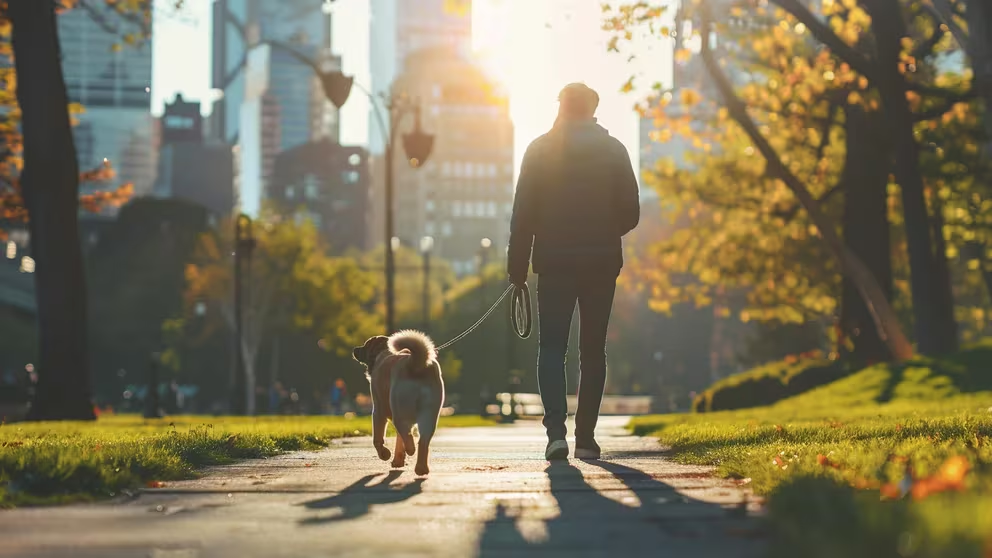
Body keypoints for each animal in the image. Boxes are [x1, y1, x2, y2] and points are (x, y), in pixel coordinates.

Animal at [348, 330, 442, 480]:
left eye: (366, 345)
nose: (355, 349)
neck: (383, 353)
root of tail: (415, 363)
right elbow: (399, 441)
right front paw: (398, 461)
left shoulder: (378, 411)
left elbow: (377, 439)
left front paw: (385, 454)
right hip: (429, 415)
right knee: (422, 441)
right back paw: (421, 469)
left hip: (399, 411)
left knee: (406, 433)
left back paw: (411, 450)